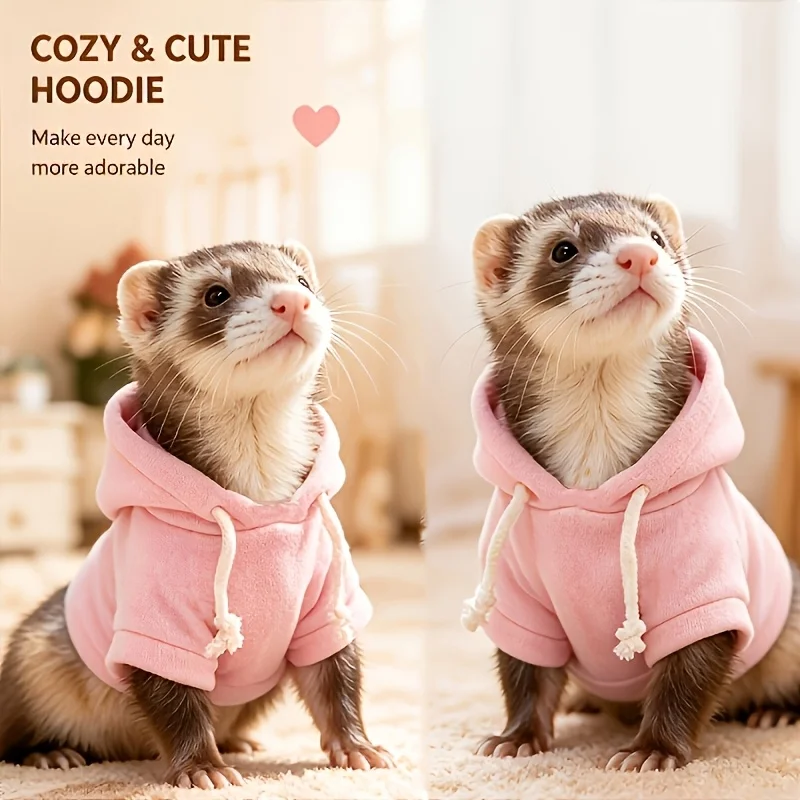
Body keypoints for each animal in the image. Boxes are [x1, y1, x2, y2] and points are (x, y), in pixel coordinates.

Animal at [0, 241, 393, 789]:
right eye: (215, 293)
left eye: (302, 280)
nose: (292, 301)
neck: (258, 503)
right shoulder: (153, 617)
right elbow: (174, 696)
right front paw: (203, 768)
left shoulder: (329, 599)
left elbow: (336, 677)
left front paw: (359, 748)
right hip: (35, 662)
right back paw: (52, 754)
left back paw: (239, 740)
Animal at [470, 193, 800, 771]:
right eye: (562, 248)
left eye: (656, 237)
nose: (638, 255)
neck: (592, 483)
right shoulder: (513, 590)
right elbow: (524, 671)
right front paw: (514, 738)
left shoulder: (704, 580)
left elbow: (688, 670)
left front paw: (652, 751)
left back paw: (772, 713)